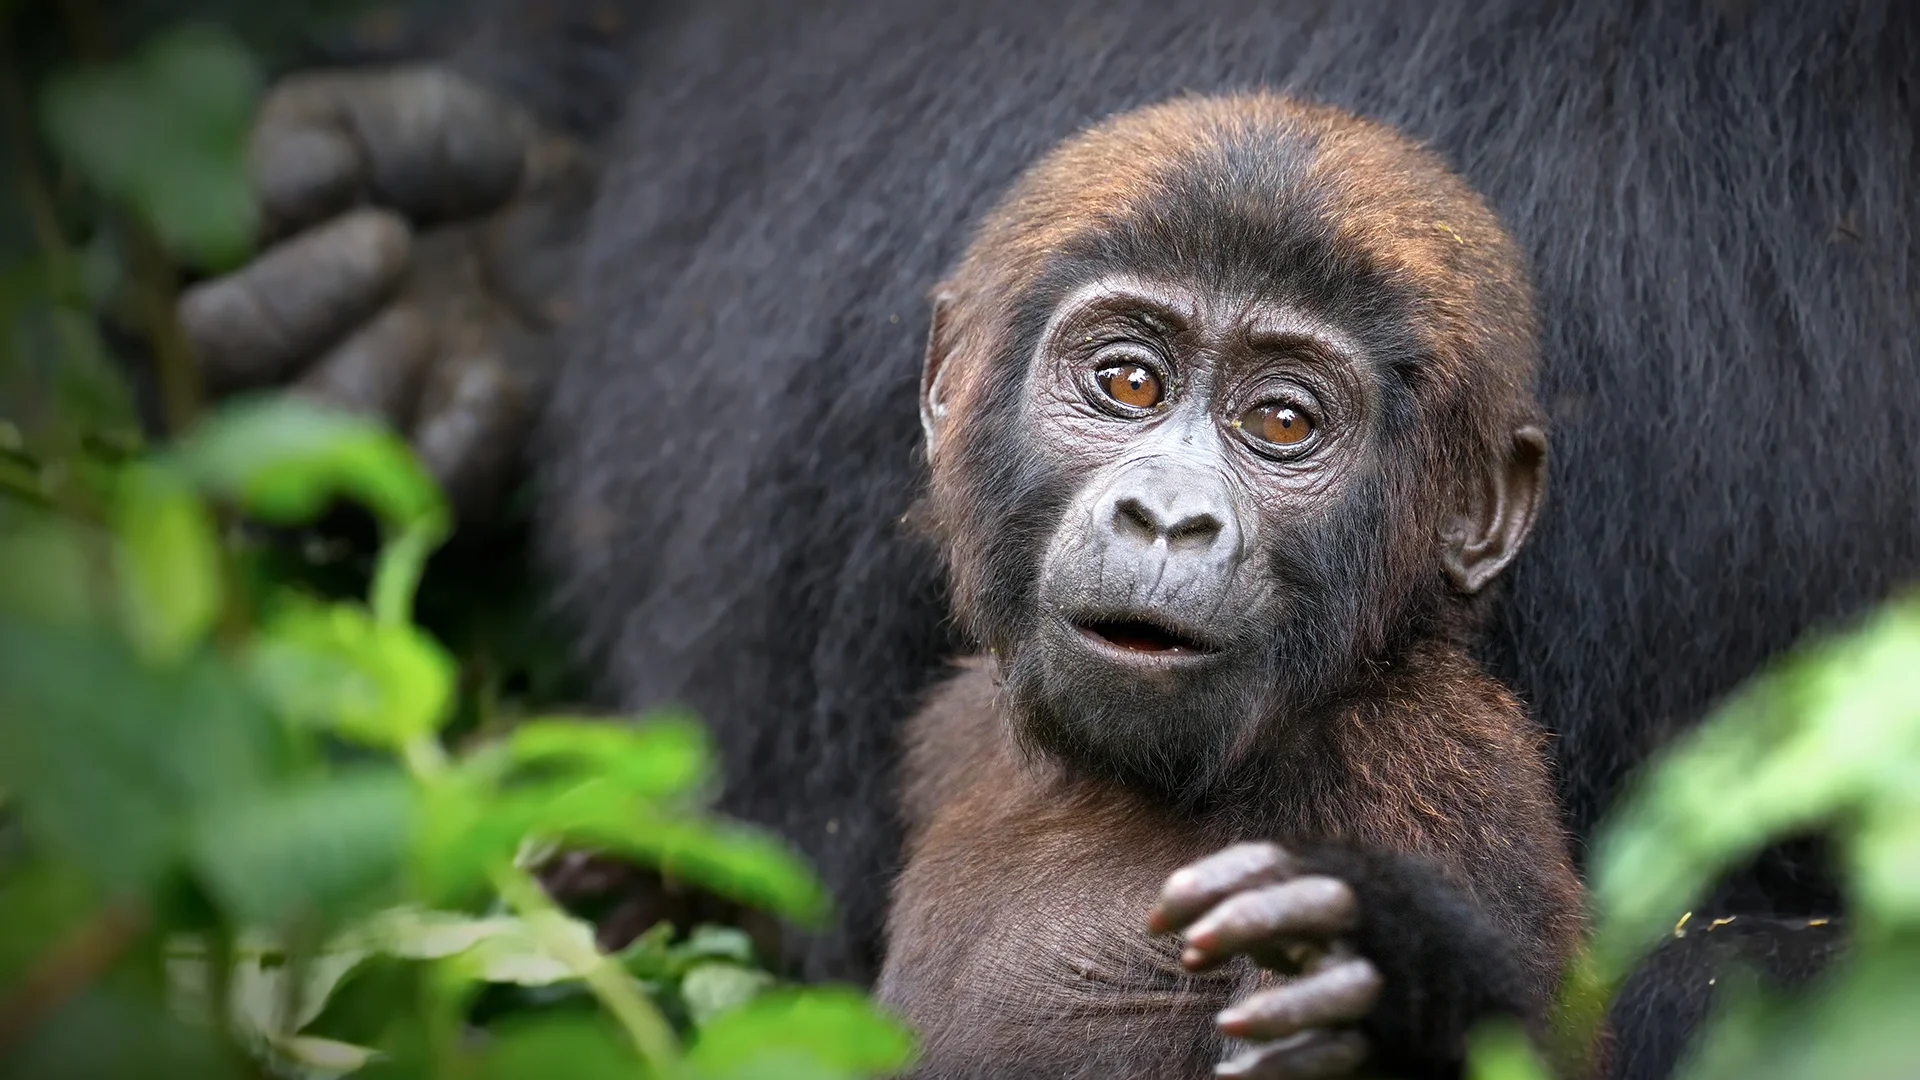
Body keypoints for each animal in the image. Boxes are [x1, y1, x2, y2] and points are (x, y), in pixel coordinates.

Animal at [874, 93, 1584, 1079]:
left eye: (1282, 421)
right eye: (1130, 381)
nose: (1169, 516)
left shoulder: (1434, 767)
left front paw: (1388, 979)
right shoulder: (950, 730)